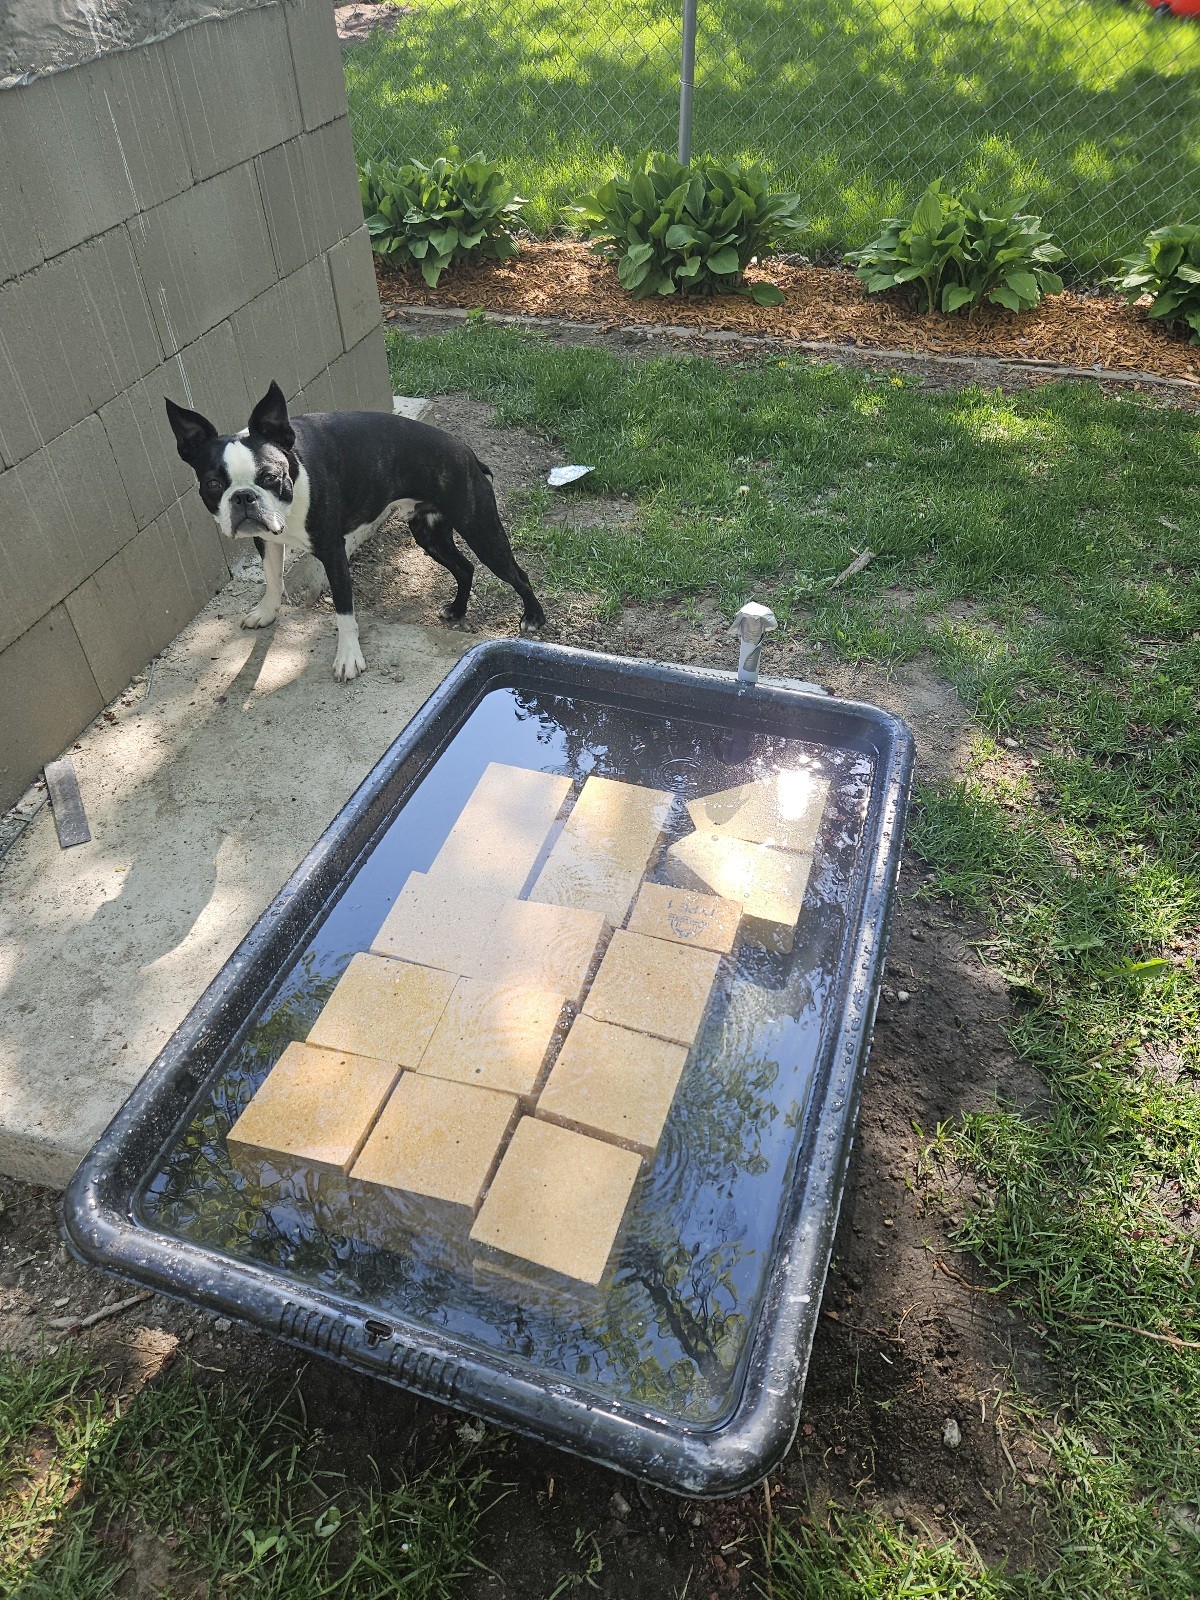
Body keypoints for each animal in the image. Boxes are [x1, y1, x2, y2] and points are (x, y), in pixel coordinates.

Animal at [165, 382, 545, 680]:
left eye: (270, 477)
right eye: (214, 484)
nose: (243, 497)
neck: (295, 472)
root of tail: (467, 452)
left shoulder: (333, 553)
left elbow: (344, 609)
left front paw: (348, 658)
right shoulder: (266, 539)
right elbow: (273, 579)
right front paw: (267, 612)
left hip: (480, 529)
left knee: (516, 573)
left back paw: (533, 617)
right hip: (429, 535)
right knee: (464, 567)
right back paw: (457, 609)